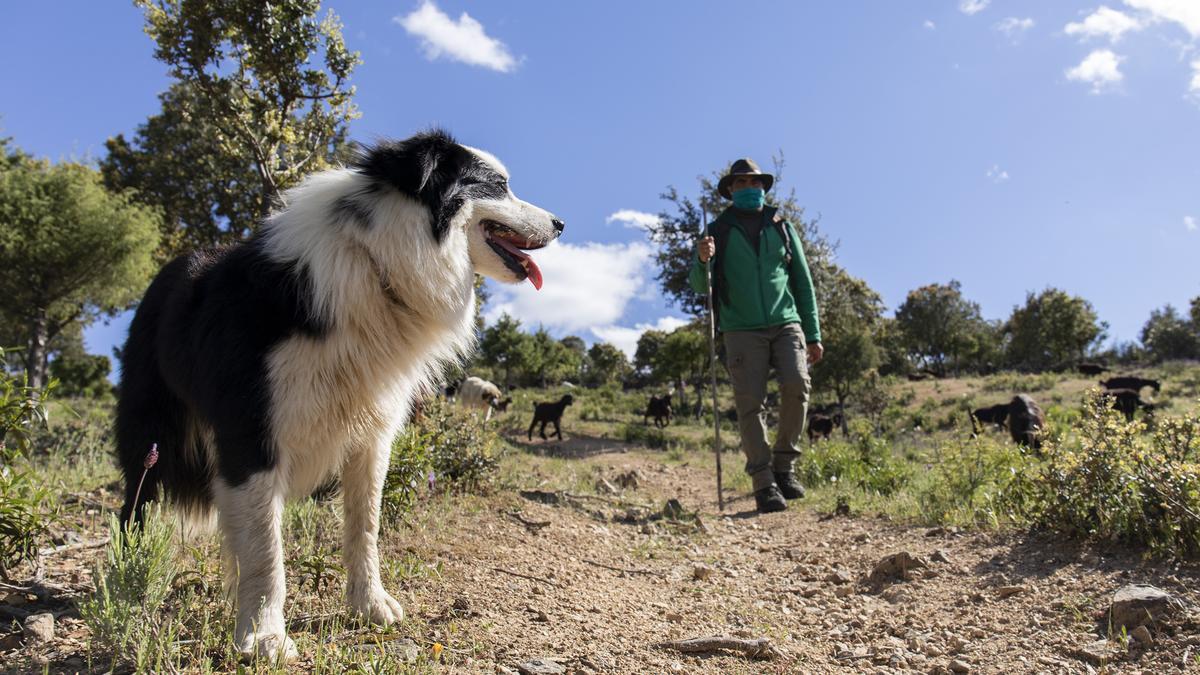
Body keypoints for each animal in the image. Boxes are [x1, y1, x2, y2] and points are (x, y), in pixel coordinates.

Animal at [114, 128, 564, 658]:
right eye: (498, 185)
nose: (561, 224)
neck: (376, 261)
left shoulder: (372, 431)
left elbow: (363, 524)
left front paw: (370, 605)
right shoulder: (252, 429)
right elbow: (266, 548)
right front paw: (265, 634)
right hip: (149, 424)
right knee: (137, 496)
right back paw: (130, 569)